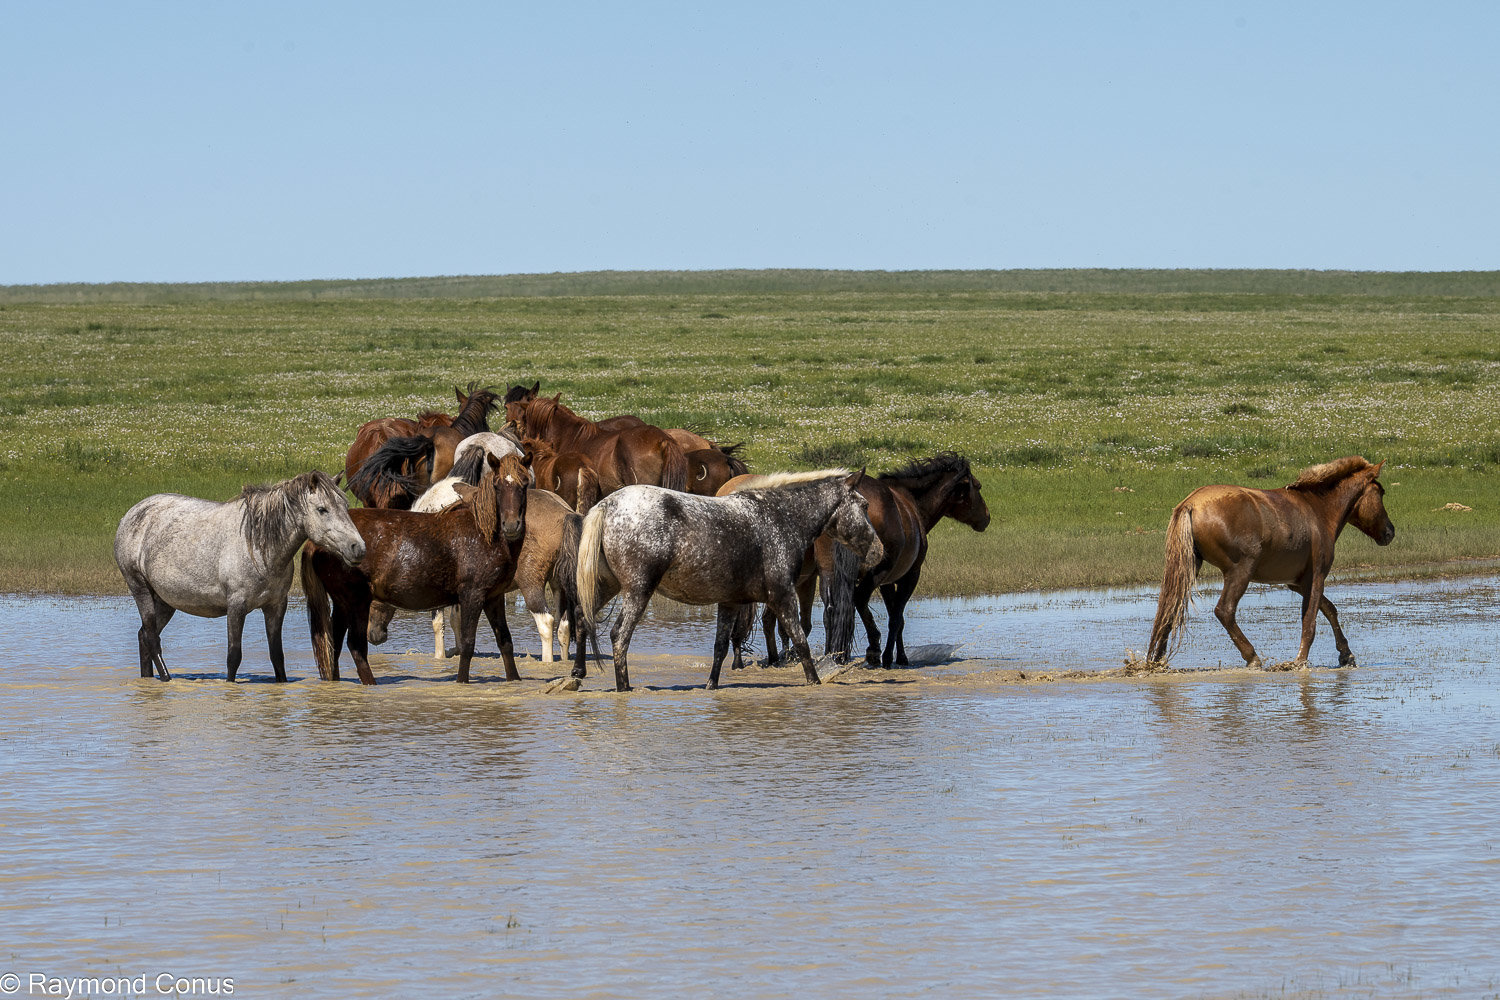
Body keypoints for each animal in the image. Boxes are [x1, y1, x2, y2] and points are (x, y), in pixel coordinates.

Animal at [114, 471, 365, 682]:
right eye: (322, 509)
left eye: (345, 505)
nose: (359, 548)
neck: (258, 546)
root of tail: (131, 514)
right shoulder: (236, 605)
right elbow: (234, 656)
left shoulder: (276, 606)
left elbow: (277, 655)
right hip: (140, 589)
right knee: (151, 638)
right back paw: (167, 679)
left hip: (166, 601)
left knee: (143, 636)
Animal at [302, 453, 530, 684]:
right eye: (497, 486)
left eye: (525, 484)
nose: (511, 525)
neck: (483, 533)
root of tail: (316, 542)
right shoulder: (472, 595)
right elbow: (467, 644)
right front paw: (461, 682)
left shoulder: (494, 597)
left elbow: (505, 641)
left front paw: (514, 680)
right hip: (356, 600)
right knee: (355, 647)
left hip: (342, 603)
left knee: (334, 645)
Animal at [577, 470, 883, 692]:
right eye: (865, 505)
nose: (879, 552)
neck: (779, 519)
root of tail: (607, 505)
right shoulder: (783, 596)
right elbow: (799, 640)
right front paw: (814, 682)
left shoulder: (731, 602)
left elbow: (720, 648)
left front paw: (711, 686)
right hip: (638, 591)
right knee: (620, 636)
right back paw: (624, 688)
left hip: (608, 587)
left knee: (581, 619)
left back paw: (578, 674)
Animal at [1146, 456, 1395, 669]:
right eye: (1381, 492)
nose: (1390, 532)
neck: (1317, 509)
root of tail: (1191, 504)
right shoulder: (1316, 577)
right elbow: (1310, 622)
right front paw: (1299, 661)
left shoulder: (1298, 583)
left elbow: (1329, 610)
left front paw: (1346, 654)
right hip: (1240, 571)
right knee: (1224, 611)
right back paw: (1252, 657)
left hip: (1190, 569)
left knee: (1170, 609)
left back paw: (1157, 661)